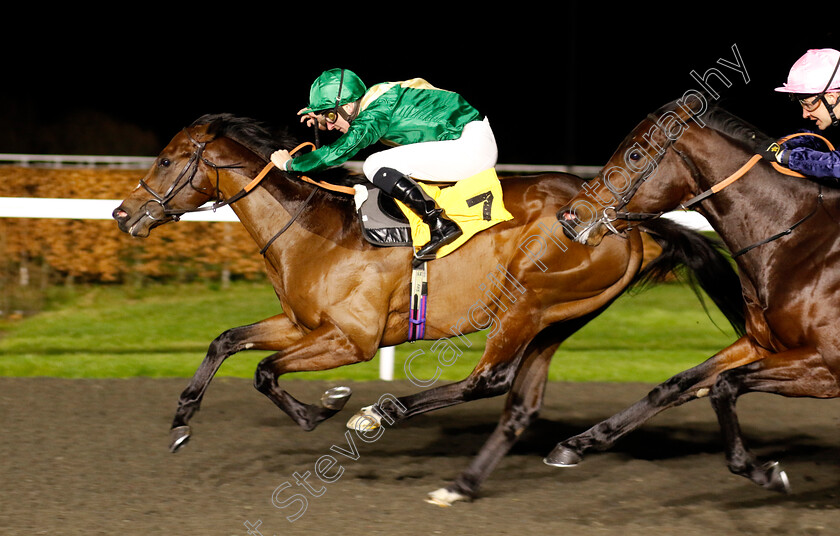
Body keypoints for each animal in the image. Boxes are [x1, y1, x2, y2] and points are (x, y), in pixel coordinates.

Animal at [110, 112, 740, 502]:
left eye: (167, 160)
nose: (122, 214)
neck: (316, 231)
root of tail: (622, 222)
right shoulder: (301, 324)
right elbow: (227, 341)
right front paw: (181, 422)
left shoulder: (352, 339)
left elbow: (265, 370)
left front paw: (327, 407)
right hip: (560, 316)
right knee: (519, 403)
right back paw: (466, 481)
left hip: (524, 301)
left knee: (489, 379)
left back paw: (382, 413)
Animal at [552, 97, 840, 494]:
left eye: (636, 154)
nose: (569, 217)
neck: (796, 241)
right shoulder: (762, 344)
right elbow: (677, 384)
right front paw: (577, 443)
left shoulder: (827, 365)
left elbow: (724, 385)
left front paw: (760, 470)